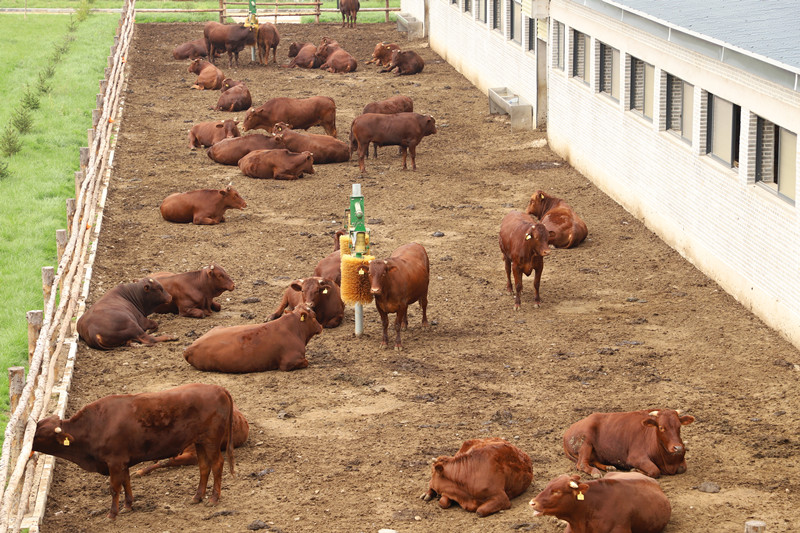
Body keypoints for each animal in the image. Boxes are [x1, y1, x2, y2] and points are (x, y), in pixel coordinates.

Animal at [32, 382, 233, 520]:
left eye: (39, 434)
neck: (95, 425)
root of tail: (218, 388)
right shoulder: (123, 462)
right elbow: (126, 482)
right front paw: (128, 505)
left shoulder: (115, 462)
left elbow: (114, 488)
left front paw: (112, 514)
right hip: (200, 443)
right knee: (204, 467)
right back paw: (197, 496)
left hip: (211, 441)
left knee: (217, 465)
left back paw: (214, 498)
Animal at [184, 302, 322, 372]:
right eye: (314, 316)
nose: (321, 326)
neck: (293, 328)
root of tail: (189, 348)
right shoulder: (288, 362)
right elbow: (306, 362)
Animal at [564, 408, 692, 478]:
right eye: (661, 427)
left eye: (679, 426)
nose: (678, 448)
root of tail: (567, 431)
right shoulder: (636, 457)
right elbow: (655, 470)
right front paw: (635, 470)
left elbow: (682, 468)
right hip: (585, 442)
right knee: (582, 463)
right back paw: (595, 472)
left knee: (593, 460)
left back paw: (609, 467)